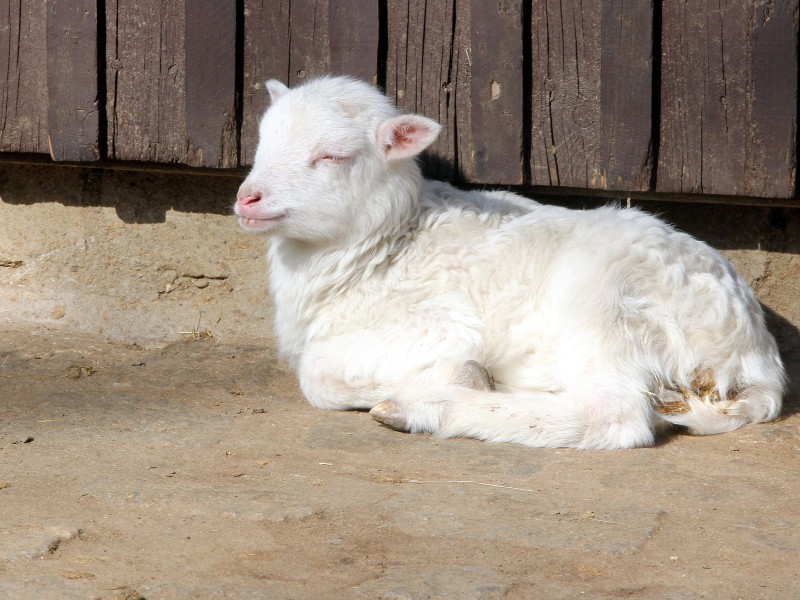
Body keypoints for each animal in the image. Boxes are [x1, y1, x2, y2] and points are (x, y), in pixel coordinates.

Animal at [234, 75, 784, 448]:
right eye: (262, 143)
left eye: (331, 157)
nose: (247, 199)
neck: (388, 245)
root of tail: (755, 359)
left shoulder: (438, 323)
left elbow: (316, 373)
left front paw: (461, 375)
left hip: (607, 304)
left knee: (616, 416)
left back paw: (426, 406)